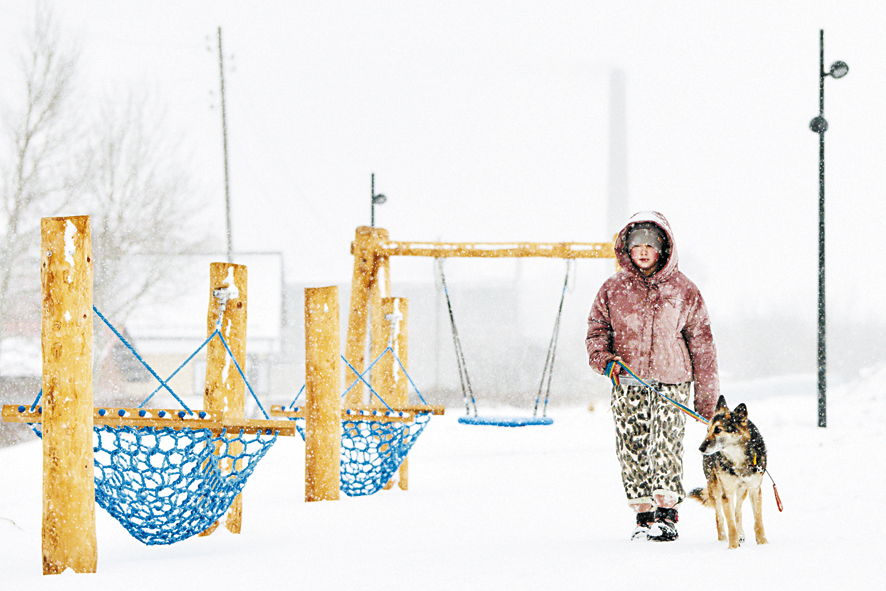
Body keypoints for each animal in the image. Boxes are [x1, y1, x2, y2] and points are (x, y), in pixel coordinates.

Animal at [692, 396, 768, 548]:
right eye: (708, 430)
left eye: (718, 430)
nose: (700, 448)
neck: (738, 458)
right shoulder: (726, 492)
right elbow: (730, 524)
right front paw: (732, 547)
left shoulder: (754, 489)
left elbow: (758, 521)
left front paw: (763, 543)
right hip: (715, 489)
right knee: (719, 517)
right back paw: (723, 539)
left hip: (742, 490)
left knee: (737, 511)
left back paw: (741, 534)